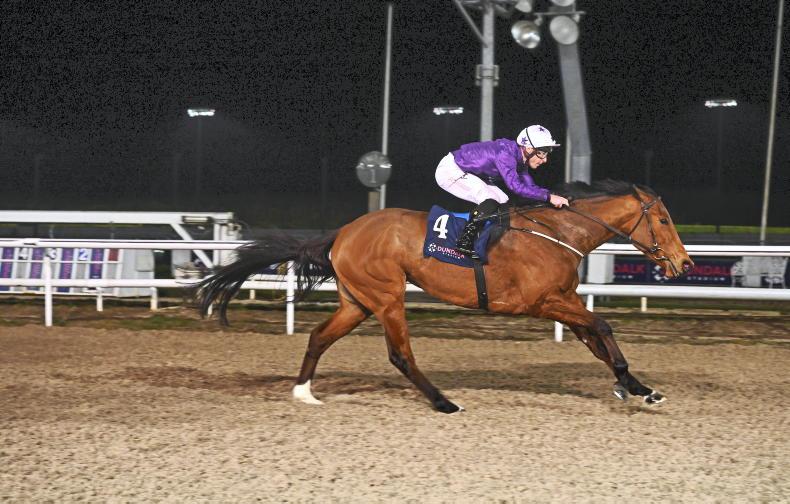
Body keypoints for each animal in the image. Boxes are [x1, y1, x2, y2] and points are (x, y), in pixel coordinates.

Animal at [197, 180, 693, 413]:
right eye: (664, 220)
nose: (684, 264)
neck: (558, 233)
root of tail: (342, 232)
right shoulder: (542, 302)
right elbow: (602, 326)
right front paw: (632, 385)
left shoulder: (563, 301)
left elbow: (597, 340)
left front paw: (636, 387)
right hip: (387, 297)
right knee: (400, 355)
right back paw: (444, 401)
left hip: (358, 301)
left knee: (320, 336)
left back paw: (304, 392)